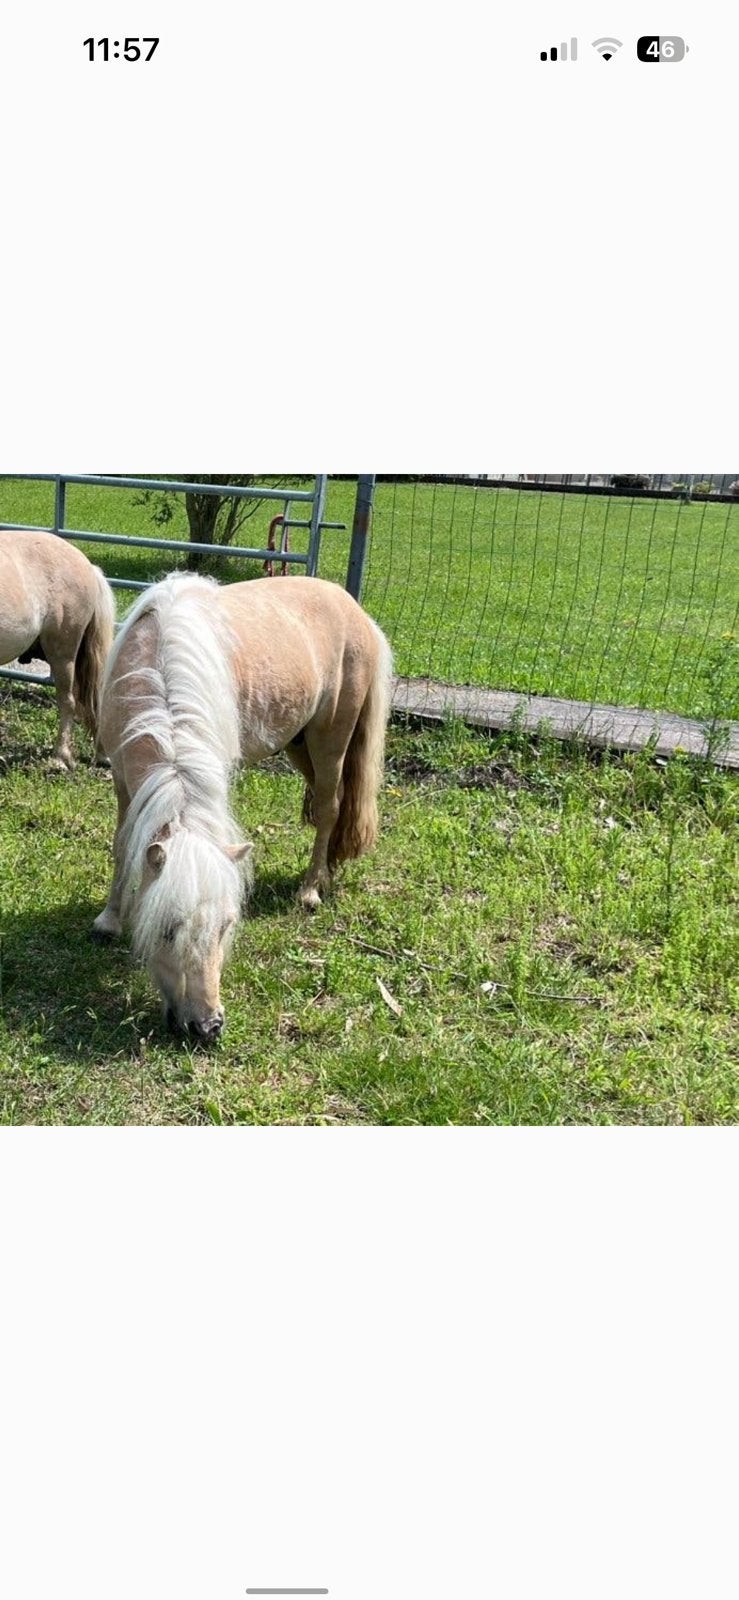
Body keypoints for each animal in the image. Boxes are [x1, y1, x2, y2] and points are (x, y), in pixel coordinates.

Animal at [92, 572, 393, 1041]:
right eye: (168, 929)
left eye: (225, 927)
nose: (207, 1026)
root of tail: (355, 611)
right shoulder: (124, 783)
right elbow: (124, 846)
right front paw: (108, 919)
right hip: (299, 744)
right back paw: (326, 874)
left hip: (330, 740)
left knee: (329, 809)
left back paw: (310, 890)